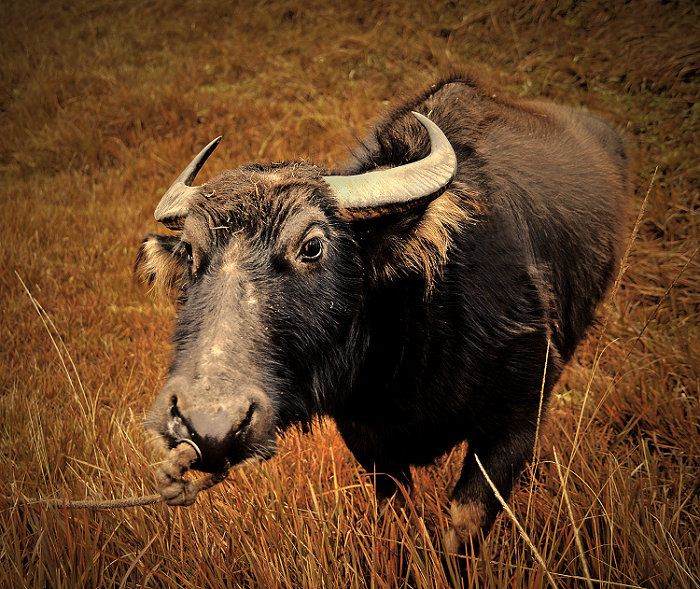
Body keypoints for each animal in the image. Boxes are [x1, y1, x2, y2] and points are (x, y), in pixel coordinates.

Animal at [137, 74, 628, 552]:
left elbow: (464, 525)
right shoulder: (366, 436)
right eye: (189, 250)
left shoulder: (515, 421)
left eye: (311, 246)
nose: (208, 424)